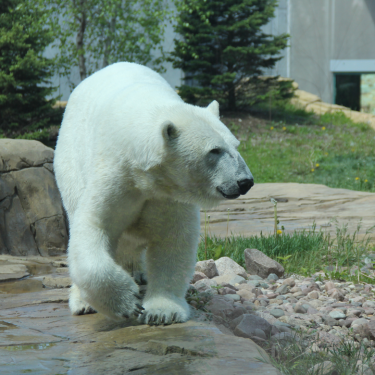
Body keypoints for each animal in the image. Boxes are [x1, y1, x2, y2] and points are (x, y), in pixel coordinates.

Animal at [53, 62, 256, 326]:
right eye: (214, 150)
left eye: (236, 145)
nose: (245, 181)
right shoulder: (116, 173)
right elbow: (94, 225)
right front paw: (127, 302)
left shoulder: (168, 193)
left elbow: (173, 238)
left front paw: (161, 312)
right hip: (70, 161)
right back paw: (83, 302)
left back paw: (136, 271)